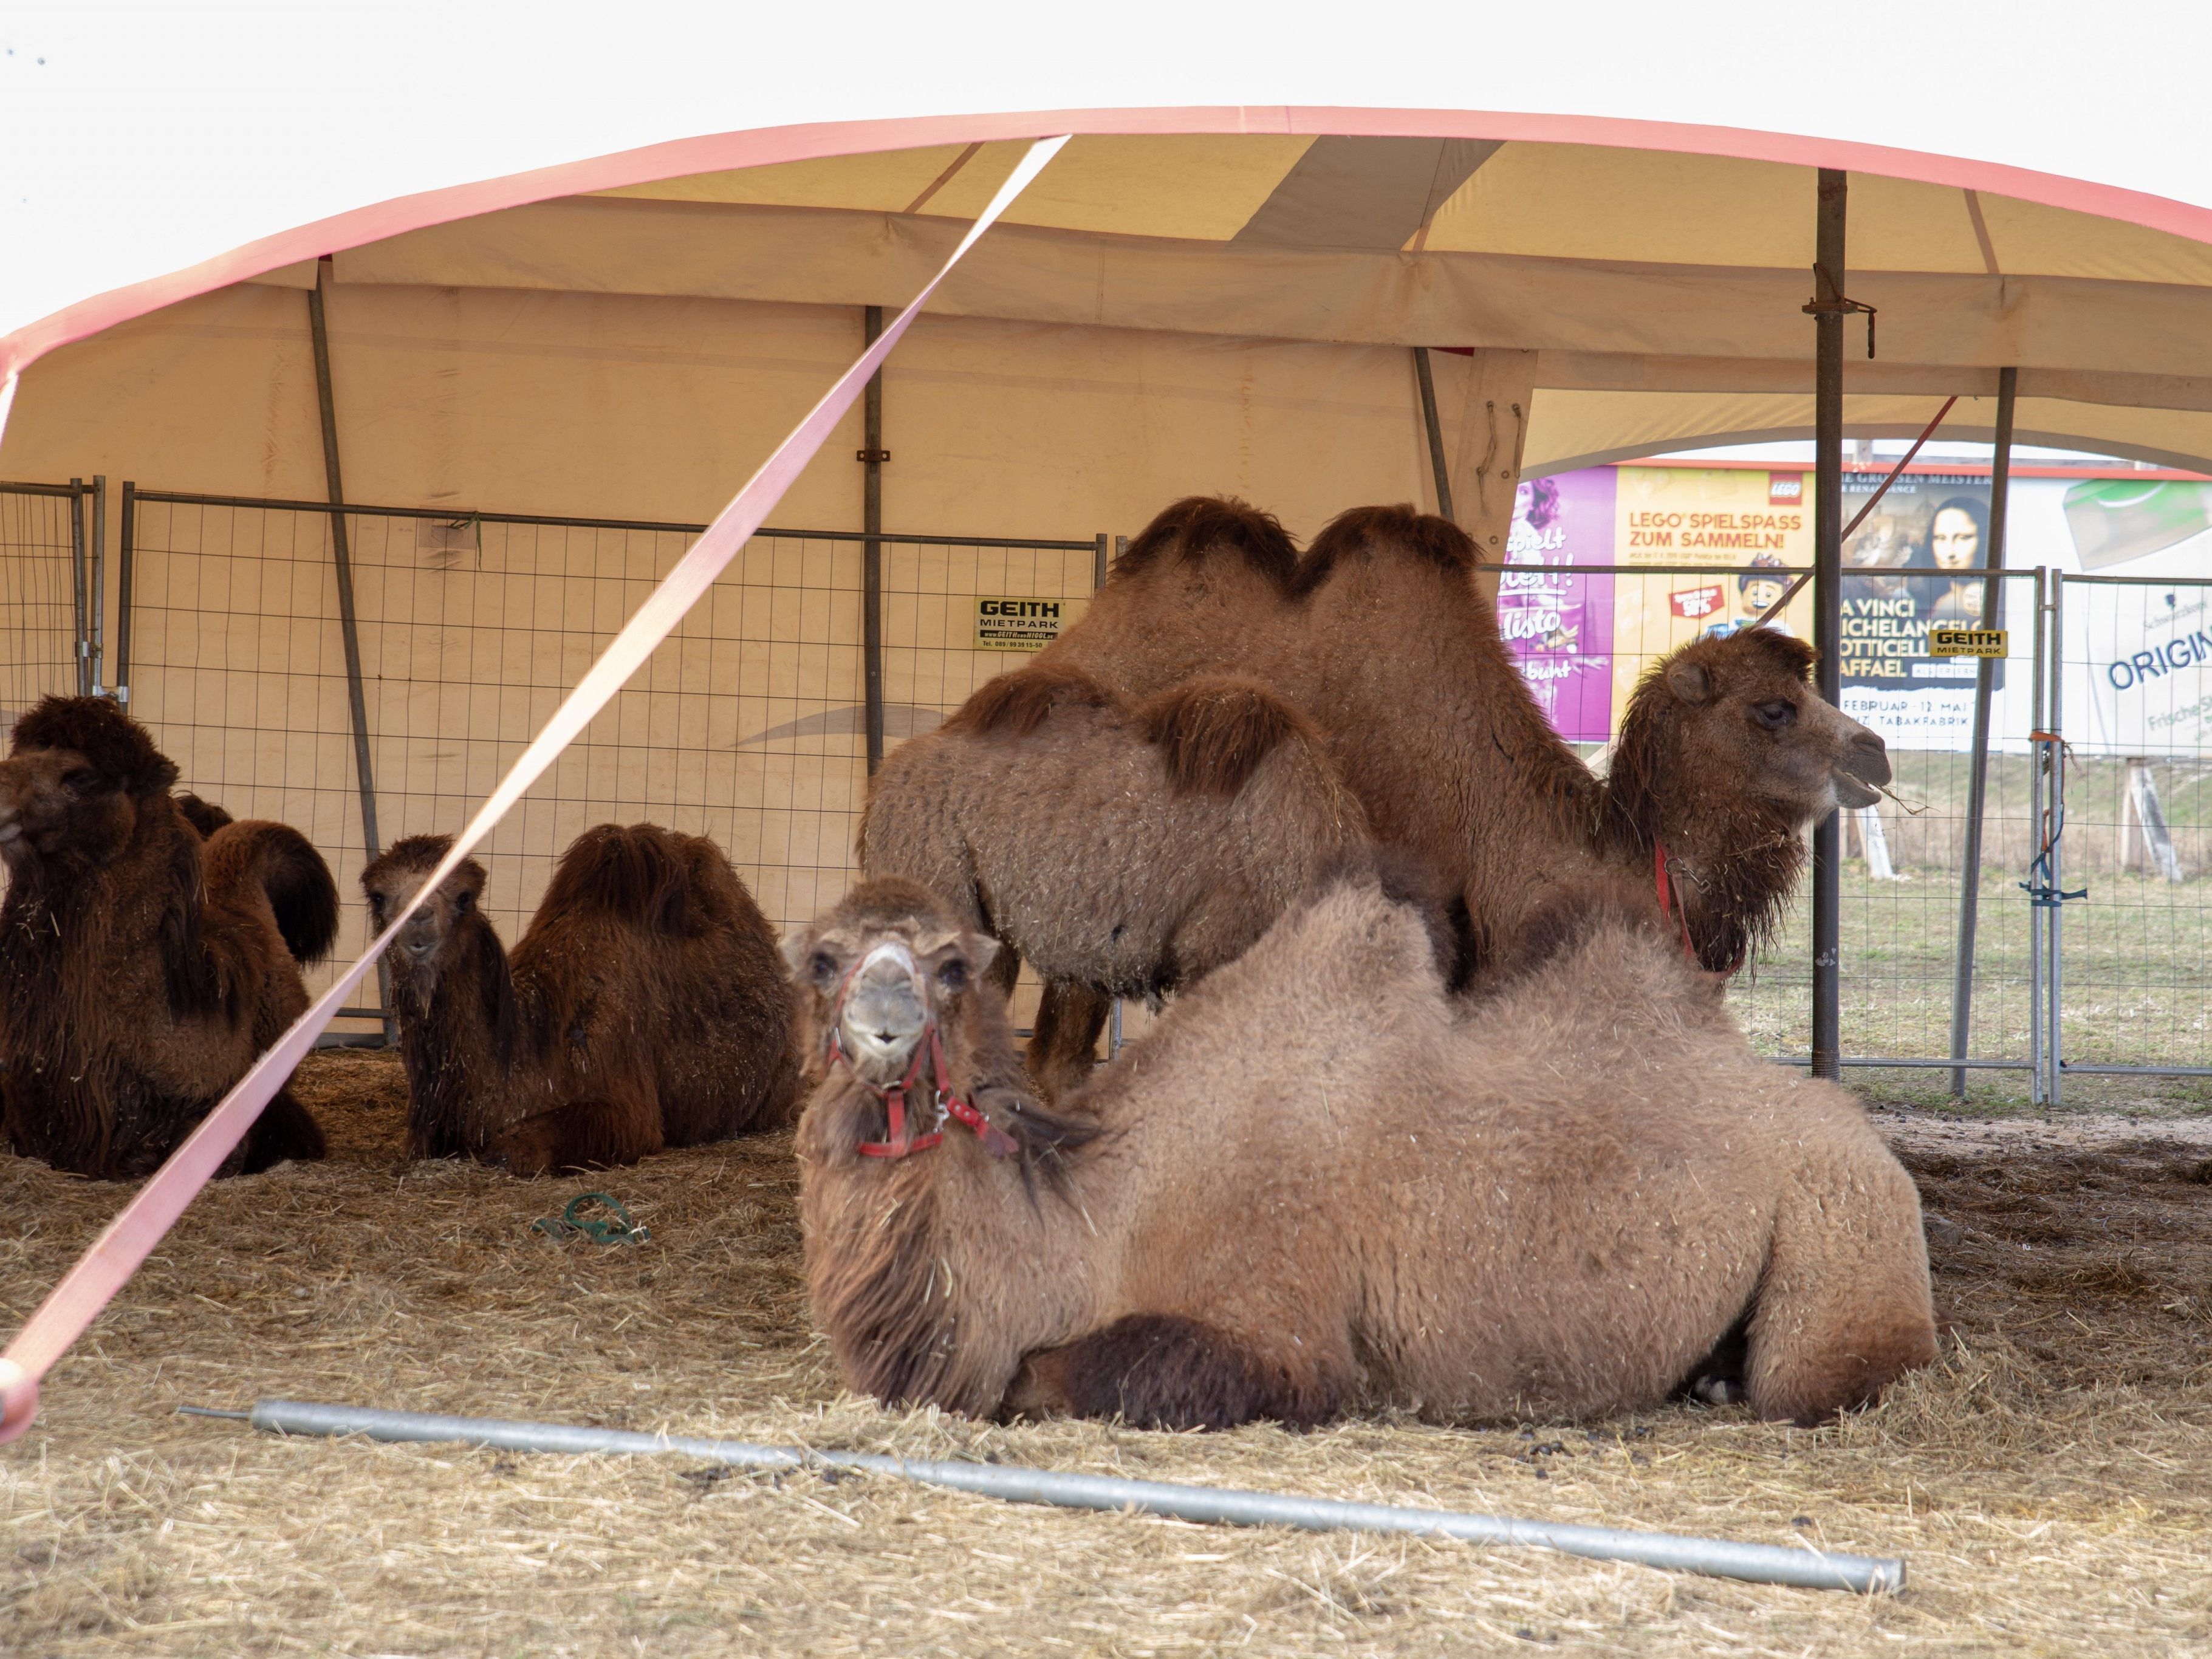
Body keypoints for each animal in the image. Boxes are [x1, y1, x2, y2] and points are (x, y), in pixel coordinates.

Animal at [787, 863, 1928, 1433]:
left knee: (1811, 1377)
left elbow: (1053, 1373)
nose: (883, 1022)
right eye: (821, 960)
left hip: (1847, 1226)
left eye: (948, 966)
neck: (1094, 1217)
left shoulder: (1277, 1329)